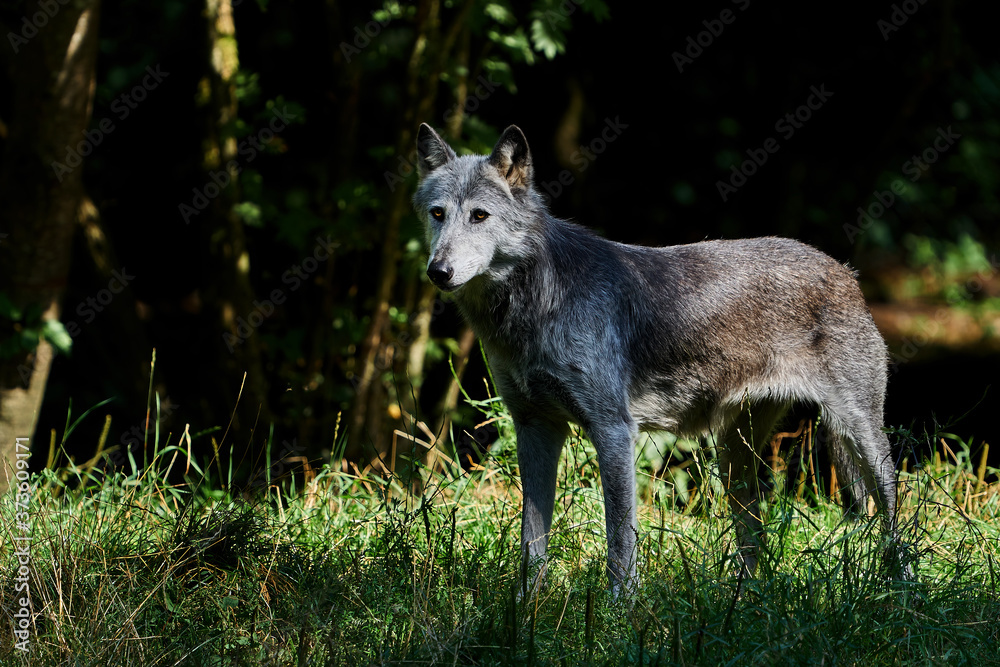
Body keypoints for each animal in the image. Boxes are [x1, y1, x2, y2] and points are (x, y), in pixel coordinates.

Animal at [413, 123, 912, 596]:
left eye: (479, 216)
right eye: (438, 214)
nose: (437, 272)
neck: (535, 304)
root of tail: (845, 271)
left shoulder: (613, 430)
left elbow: (620, 543)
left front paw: (618, 612)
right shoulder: (536, 428)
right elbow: (531, 541)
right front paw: (526, 608)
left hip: (861, 438)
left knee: (896, 521)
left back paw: (904, 596)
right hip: (734, 458)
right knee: (755, 538)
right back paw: (745, 602)